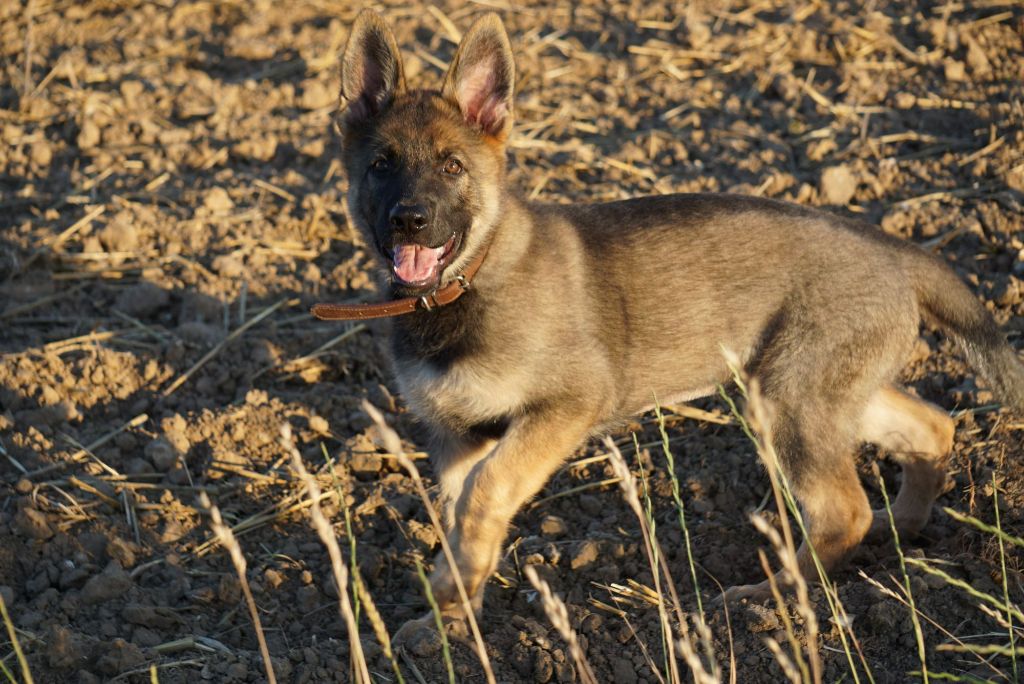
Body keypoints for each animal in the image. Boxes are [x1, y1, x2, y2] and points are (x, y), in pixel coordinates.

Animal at [335, 7, 1024, 634]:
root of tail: (895, 249)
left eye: (453, 166)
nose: (410, 221)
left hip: (788, 401)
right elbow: (461, 519)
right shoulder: (455, 435)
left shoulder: (566, 406)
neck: (462, 287)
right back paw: (901, 529)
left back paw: (771, 597)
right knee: (931, 428)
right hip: (817, 391)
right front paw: (453, 619)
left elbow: (487, 493)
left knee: (840, 512)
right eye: (381, 164)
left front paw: (447, 596)